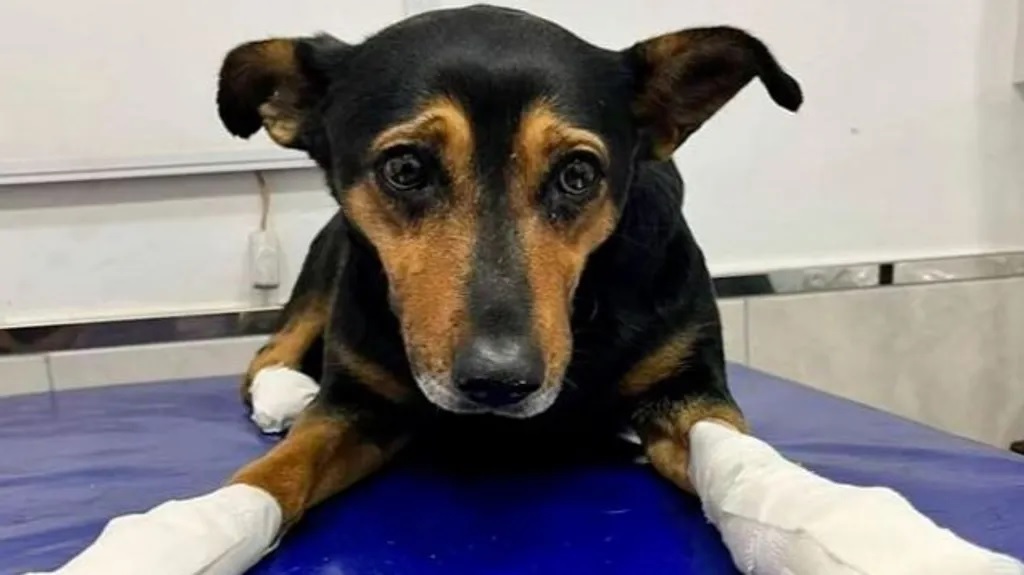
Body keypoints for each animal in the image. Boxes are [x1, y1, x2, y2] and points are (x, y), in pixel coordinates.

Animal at [217, 4, 801, 536]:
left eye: (578, 174)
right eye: (405, 168)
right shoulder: (354, 402)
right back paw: (284, 393)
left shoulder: (691, 388)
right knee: (270, 350)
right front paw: (205, 531)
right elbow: (276, 471)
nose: (499, 382)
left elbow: (739, 457)